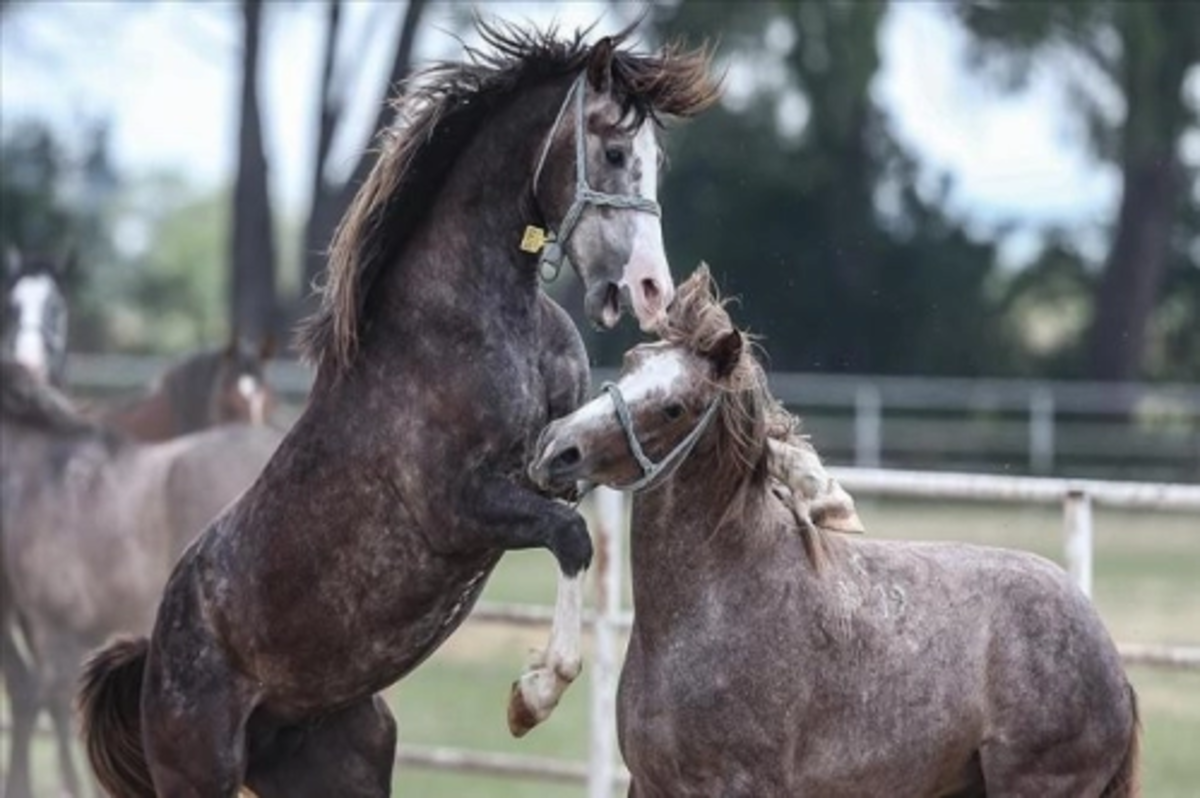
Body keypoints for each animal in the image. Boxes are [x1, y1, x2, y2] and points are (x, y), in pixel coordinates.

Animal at [535, 266, 1142, 796]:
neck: (720, 600)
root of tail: (1111, 663)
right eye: (632, 362)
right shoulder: (649, 784)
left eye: (674, 408)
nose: (556, 448)